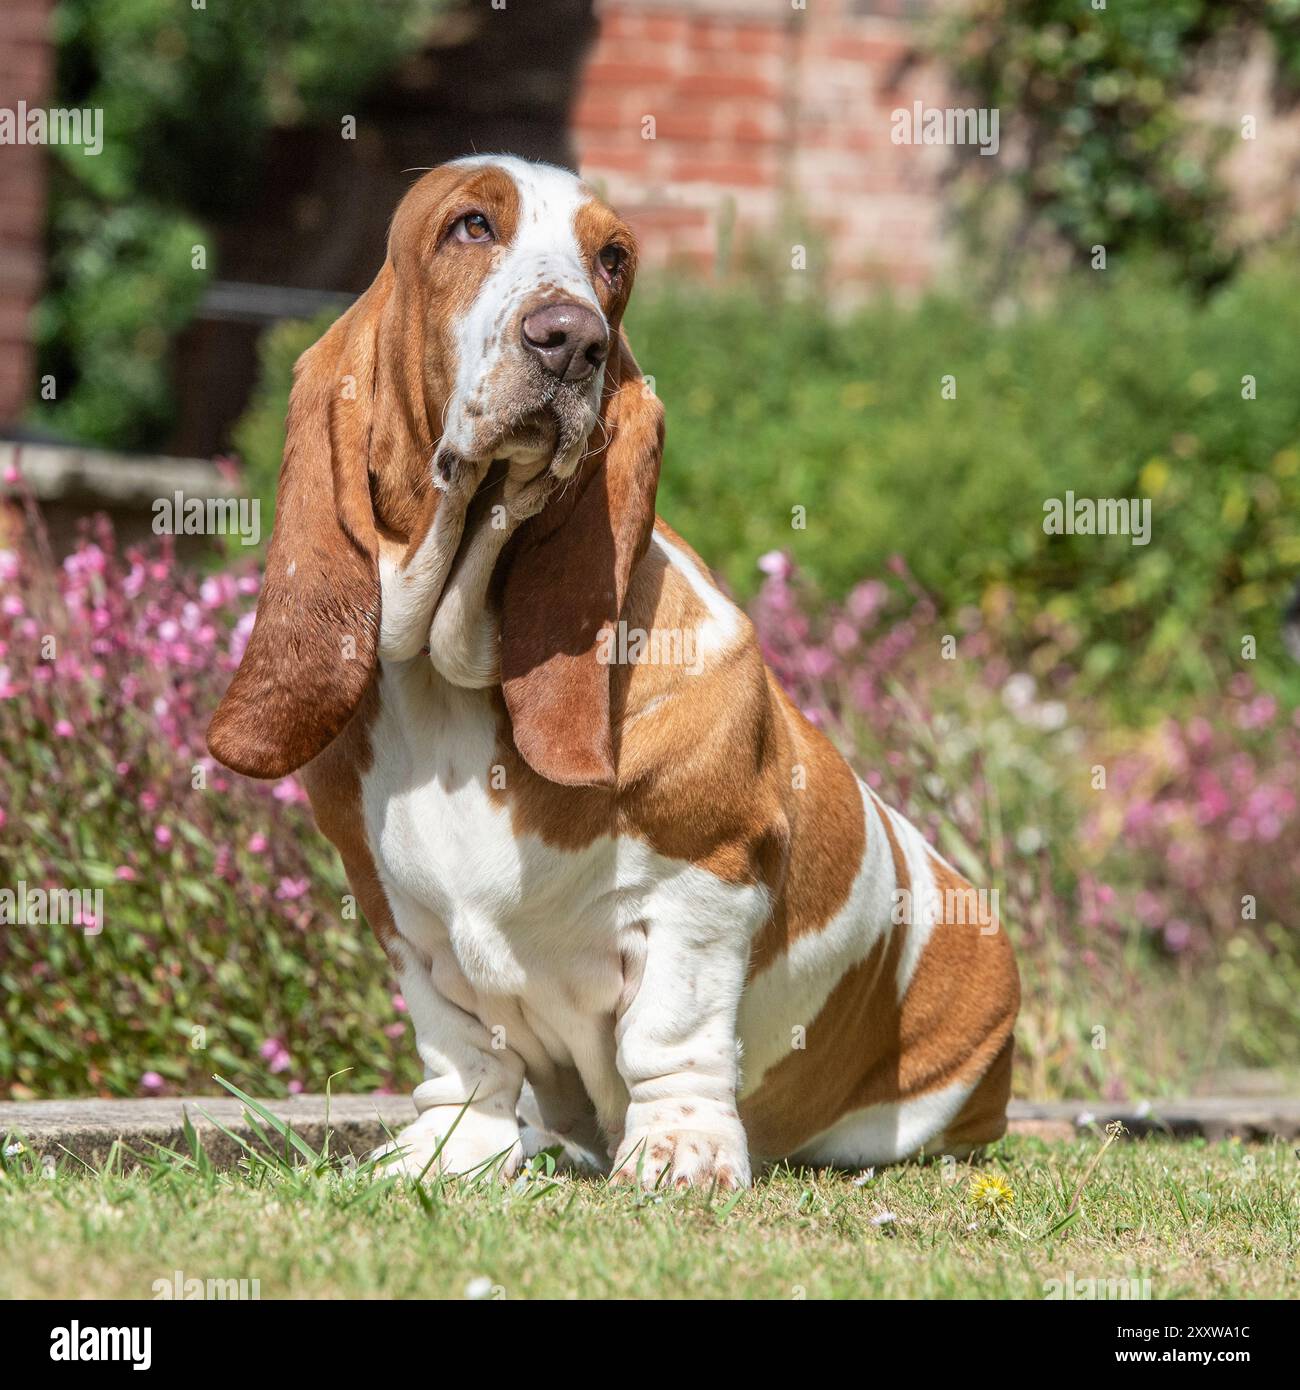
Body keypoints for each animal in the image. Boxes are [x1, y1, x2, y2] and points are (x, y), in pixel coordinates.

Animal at [208, 157, 1017, 1189]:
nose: (571, 340)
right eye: (470, 226)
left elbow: (669, 1032)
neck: (453, 681)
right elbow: (461, 1051)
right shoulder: (406, 925)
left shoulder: (704, 884)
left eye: (615, 259)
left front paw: (680, 1151)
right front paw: (451, 1152)